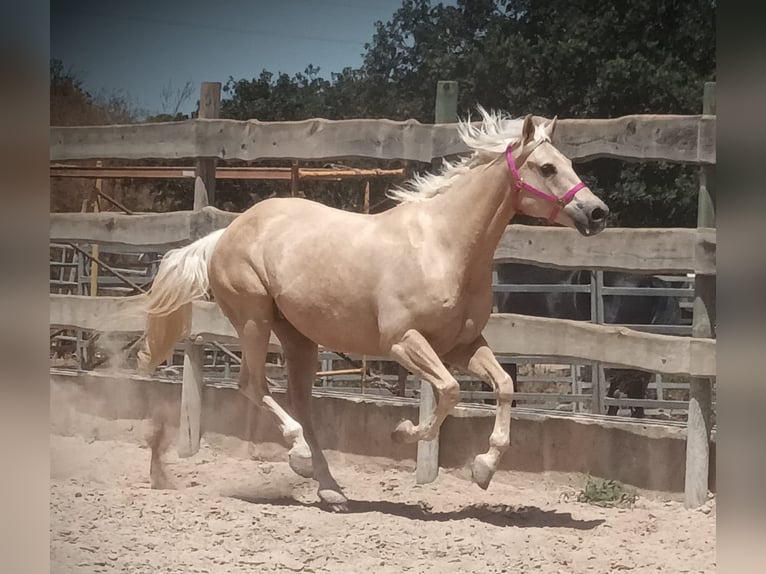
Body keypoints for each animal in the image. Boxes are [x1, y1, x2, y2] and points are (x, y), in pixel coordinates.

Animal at [135, 109, 608, 512]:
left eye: (568, 161)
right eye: (547, 168)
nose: (597, 212)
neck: (445, 247)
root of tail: (226, 233)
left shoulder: (464, 344)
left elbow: (505, 386)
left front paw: (484, 468)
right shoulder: (403, 343)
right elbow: (450, 391)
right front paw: (404, 433)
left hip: (298, 336)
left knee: (301, 402)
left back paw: (330, 489)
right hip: (254, 320)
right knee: (254, 386)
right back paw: (299, 456)